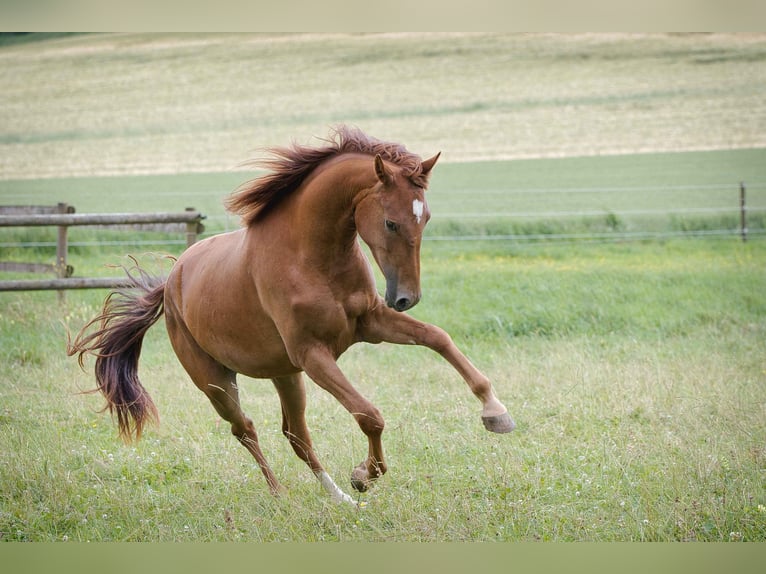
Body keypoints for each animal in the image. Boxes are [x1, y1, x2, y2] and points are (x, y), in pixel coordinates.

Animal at [69, 126, 516, 504]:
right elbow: (369, 415)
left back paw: (339, 498)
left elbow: (438, 338)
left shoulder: (370, 324)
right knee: (246, 429)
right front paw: (363, 475)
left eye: (425, 218)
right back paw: (284, 492)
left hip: (285, 374)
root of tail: (172, 280)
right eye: (391, 222)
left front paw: (495, 412)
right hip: (216, 381)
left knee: (295, 435)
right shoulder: (314, 354)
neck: (311, 257)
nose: (406, 298)